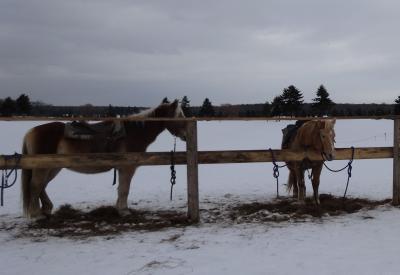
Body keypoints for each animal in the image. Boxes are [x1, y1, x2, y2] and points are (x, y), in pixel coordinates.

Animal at [23, 100, 188, 219]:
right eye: (179, 115)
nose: (186, 135)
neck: (134, 133)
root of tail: (31, 131)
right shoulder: (127, 168)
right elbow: (124, 189)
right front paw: (124, 211)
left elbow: (121, 188)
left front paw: (119, 208)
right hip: (44, 167)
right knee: (35, 186)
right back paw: (37, 215)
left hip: (53, 167)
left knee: (42, 186)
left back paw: (46, 209)